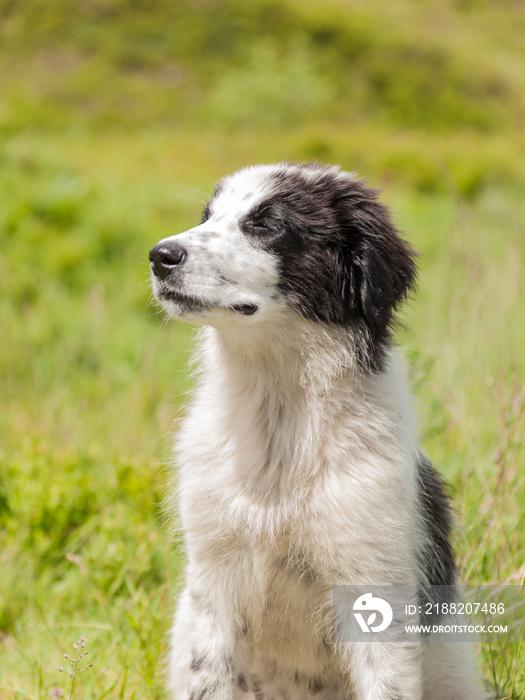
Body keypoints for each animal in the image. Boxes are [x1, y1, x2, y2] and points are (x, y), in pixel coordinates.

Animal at [148, 163, 484, 700]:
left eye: (265, 224)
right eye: (207, 217)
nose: (160, 256)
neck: (281, 420)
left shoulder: (373, 577)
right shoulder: (214, 578)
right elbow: (209, 677)